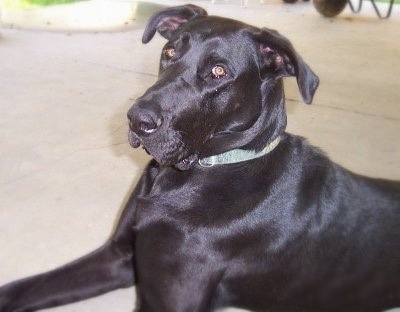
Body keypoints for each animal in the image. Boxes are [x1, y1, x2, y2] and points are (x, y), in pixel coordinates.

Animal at [0, 4, 400, 312]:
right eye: (169, 53)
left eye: (218, 72)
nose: (137, 120)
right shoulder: (119, 257)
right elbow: (23, 289)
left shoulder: (169, 297)